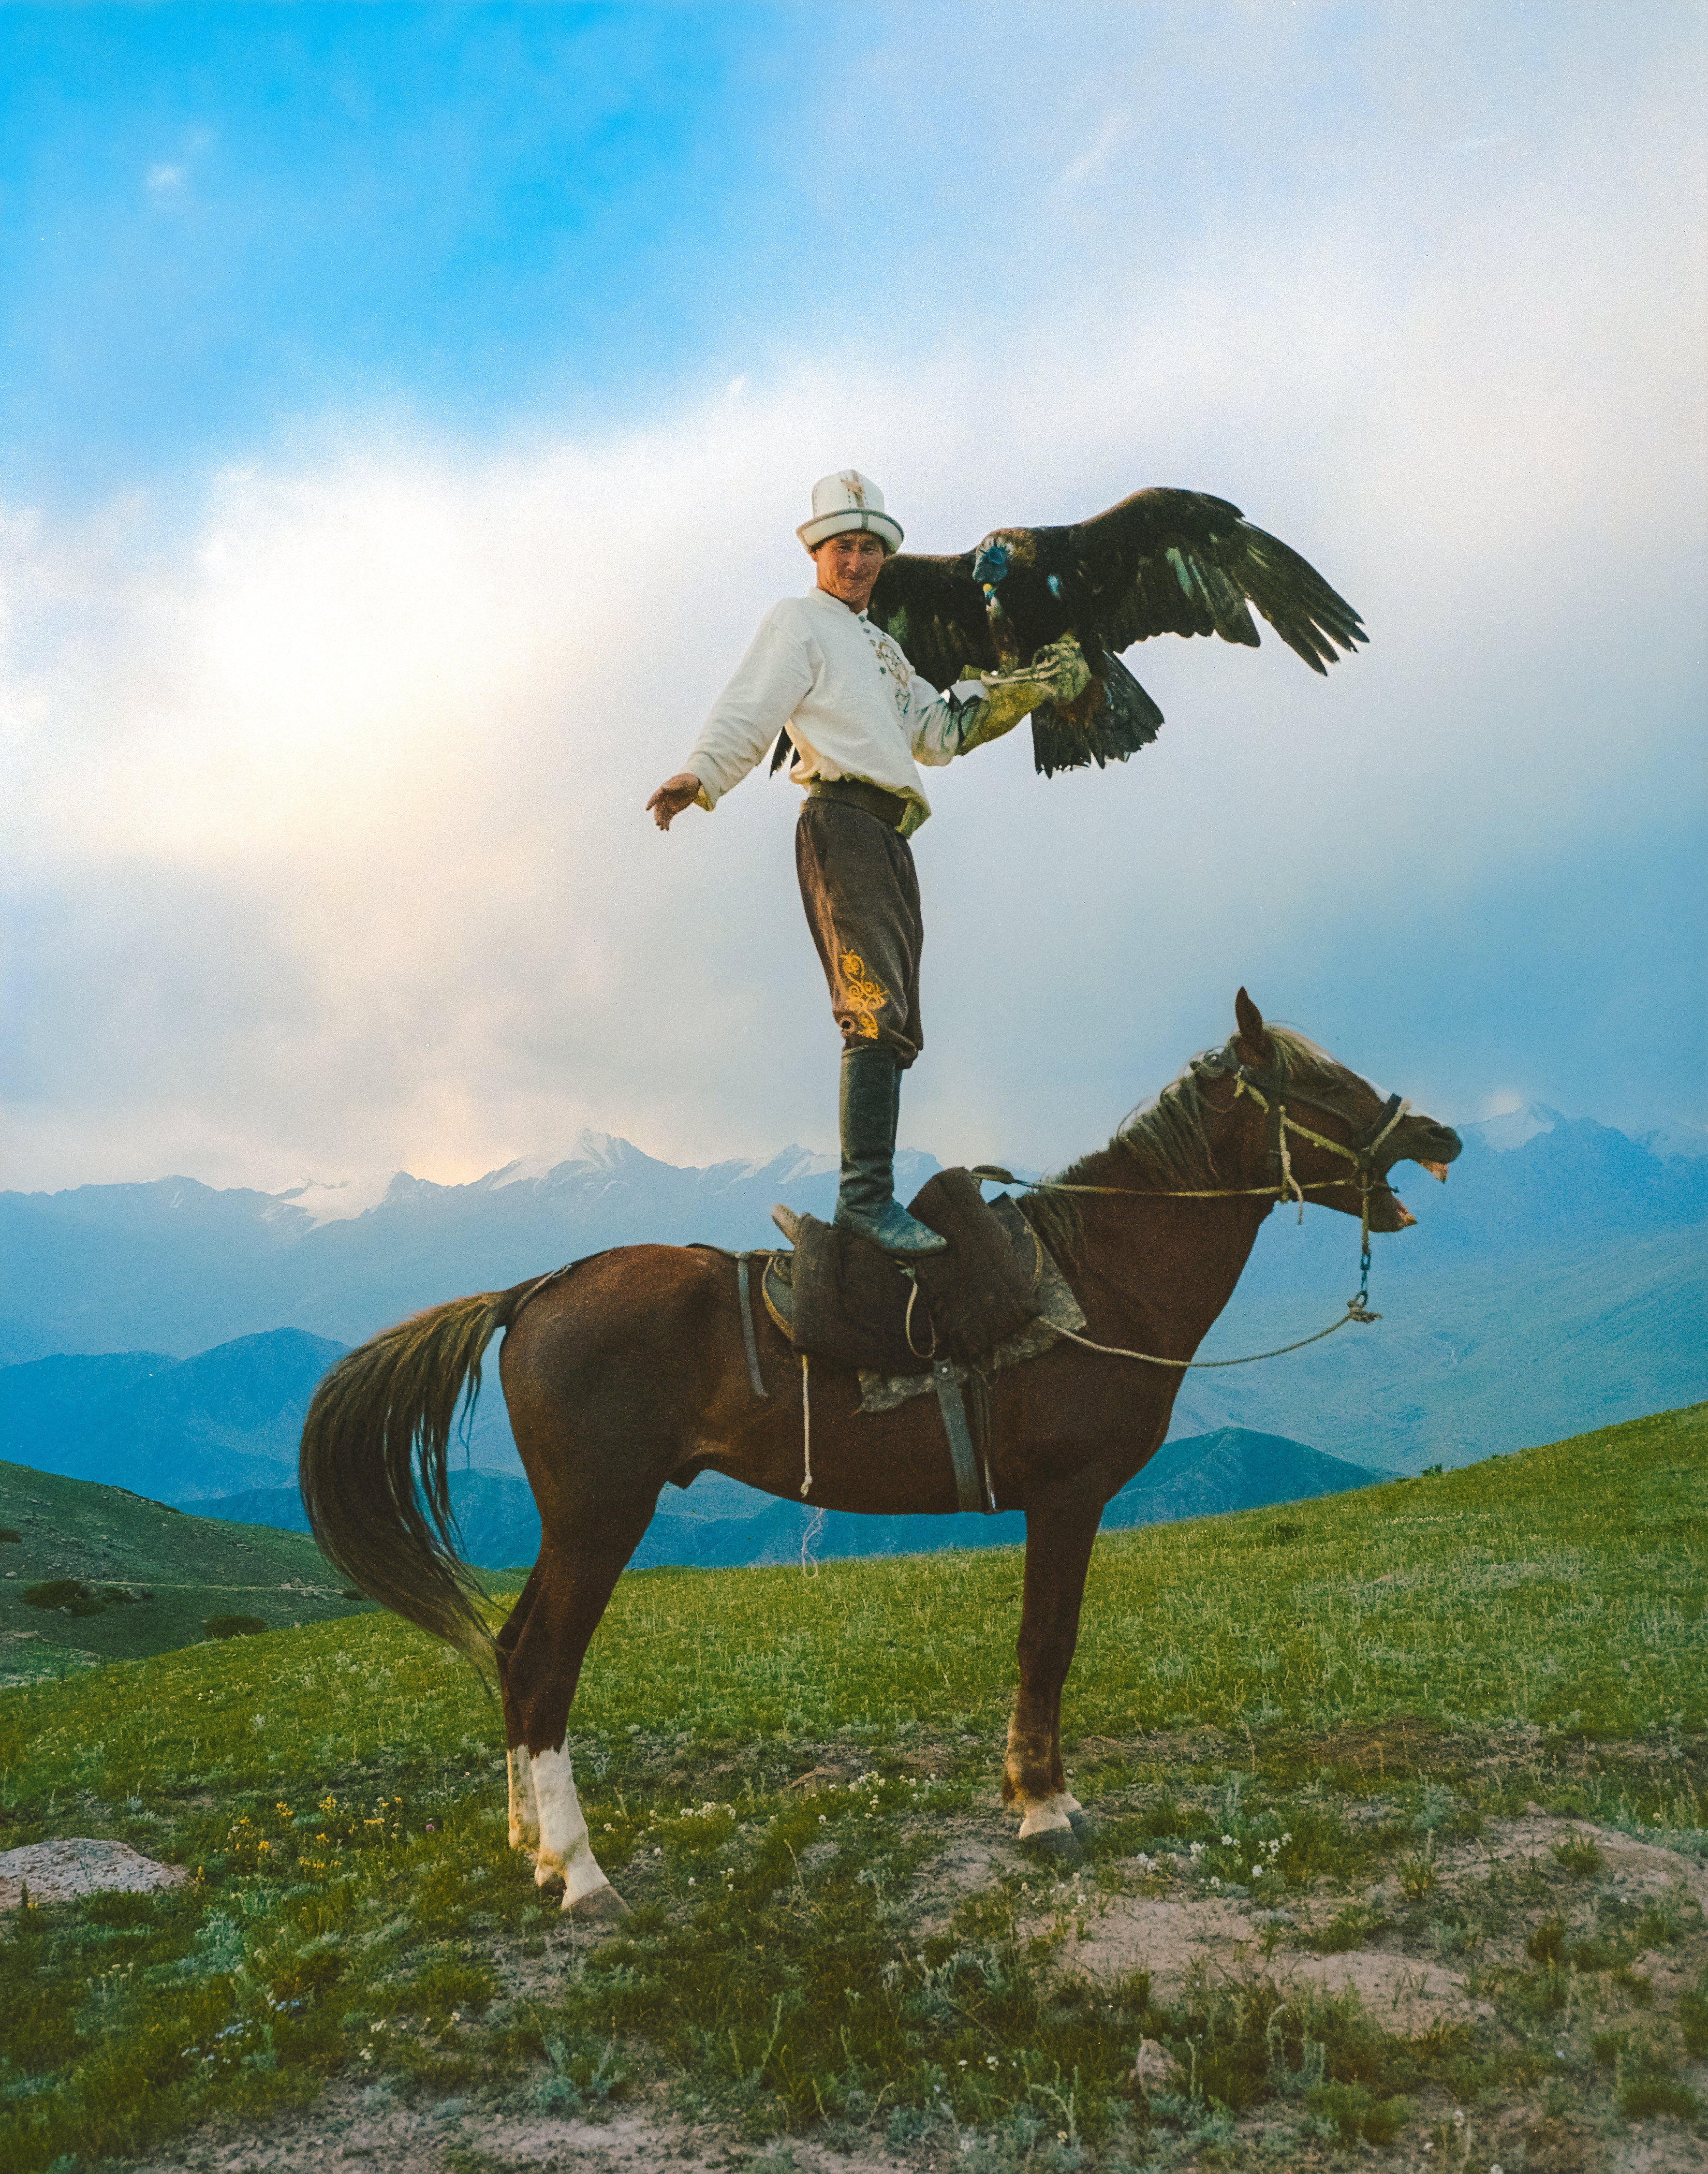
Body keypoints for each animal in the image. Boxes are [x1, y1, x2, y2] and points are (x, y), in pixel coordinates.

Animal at [299, 990, 1460, 1924]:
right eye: (1316, 1082)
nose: (1439, 1129)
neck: (1096, 1280)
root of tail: (530, 1293)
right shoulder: (1067, 1496)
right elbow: (1047, 1645)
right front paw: (1045, 1809)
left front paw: (1037, 1794)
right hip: (602, 1516)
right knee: (543, 1665)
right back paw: (583, 1876)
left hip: (576, 1519)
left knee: (510, 1648)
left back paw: (534, 1853)